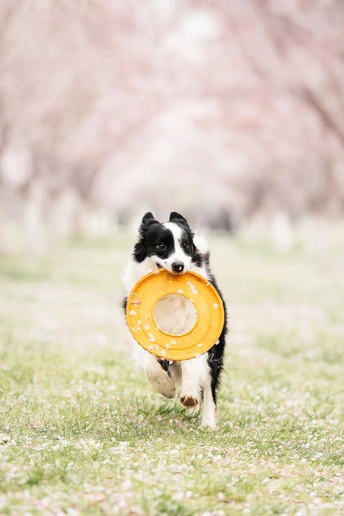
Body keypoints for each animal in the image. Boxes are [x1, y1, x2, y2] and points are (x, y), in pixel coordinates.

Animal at [122, 212, 227, 430]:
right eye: (161, 246)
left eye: (186, 245)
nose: (179, 266)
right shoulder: (140, 331)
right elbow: (149, 363)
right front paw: (166, 388)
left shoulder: (195, 332)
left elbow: (192, 364)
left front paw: (189, 394)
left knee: (209, 389)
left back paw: (207, 422)